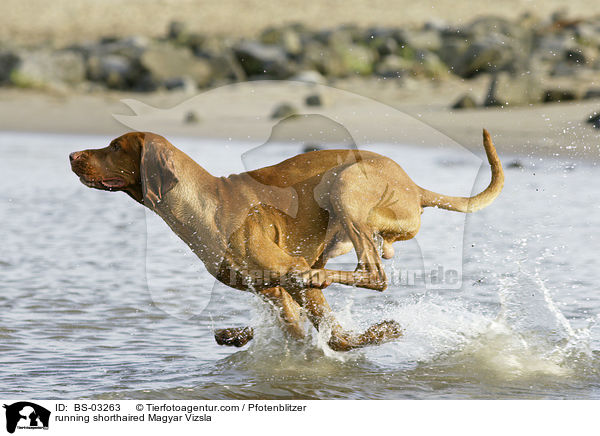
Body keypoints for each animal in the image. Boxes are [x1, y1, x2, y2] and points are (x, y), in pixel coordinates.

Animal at [69, 129, 502, 350]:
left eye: (115, 147)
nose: (72, 155)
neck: (203, 203)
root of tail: (415, 187)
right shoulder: (271, 290)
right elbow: (298, 329)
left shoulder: (286, 276)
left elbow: (337, 339)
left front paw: (377, 334)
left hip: (343, 184)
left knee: (371, 274)